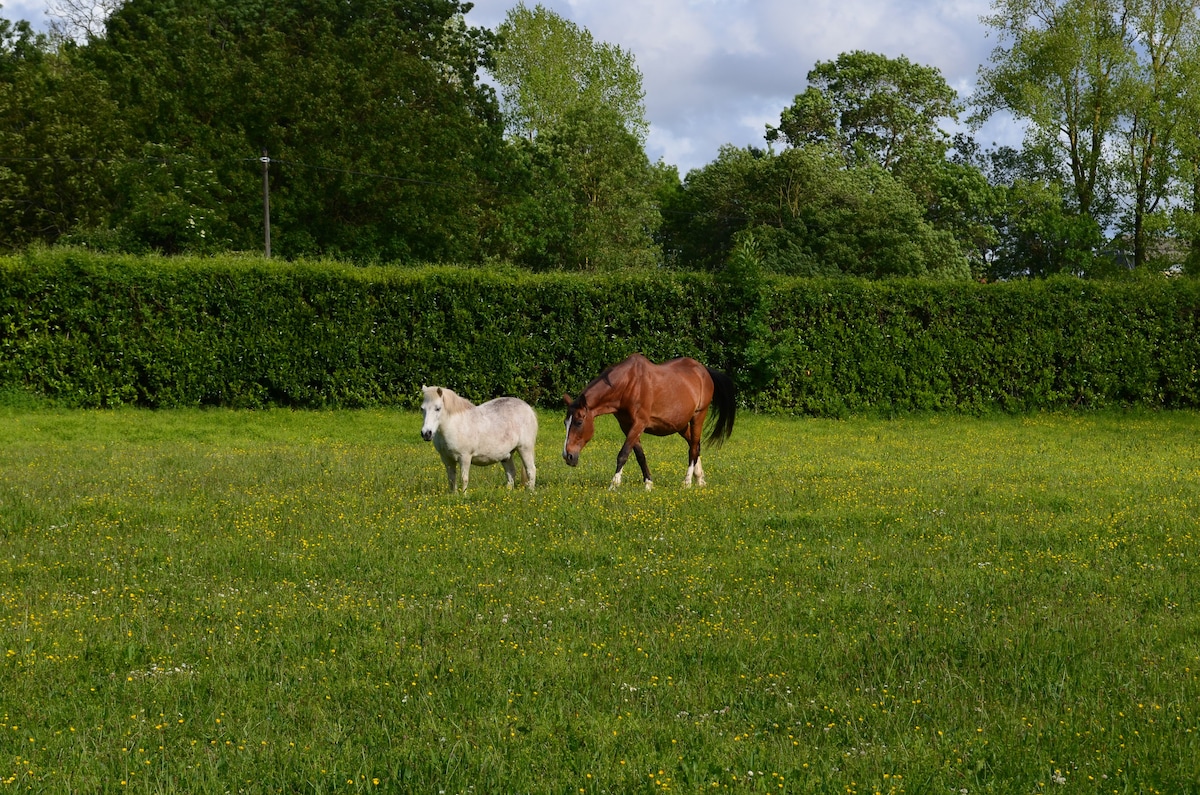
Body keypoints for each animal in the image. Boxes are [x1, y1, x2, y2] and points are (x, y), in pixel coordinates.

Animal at [559, 355, 729, 492]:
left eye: (579, 422)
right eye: (565, 423)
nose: (568, 456)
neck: (628, 384)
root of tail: (703, 371)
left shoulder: (639, 424)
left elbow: (623, 454)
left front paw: (614, 485)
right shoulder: (627, 426)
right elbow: (640, 456)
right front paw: (648, 484)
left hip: (698, 416)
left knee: (693, 448)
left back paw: (687, 482)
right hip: (680, 424)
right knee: (695, 444)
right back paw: (700, 479)